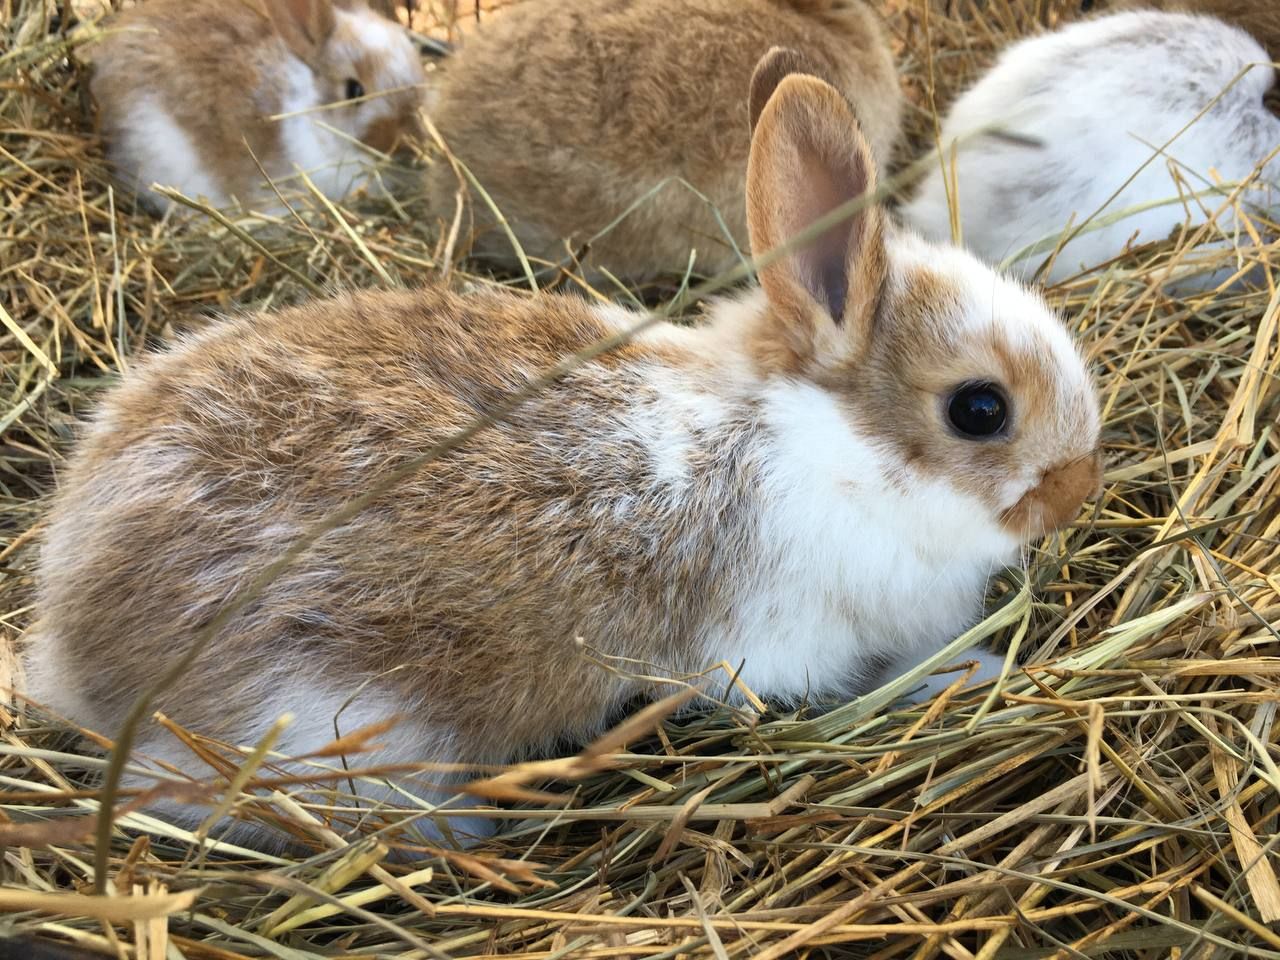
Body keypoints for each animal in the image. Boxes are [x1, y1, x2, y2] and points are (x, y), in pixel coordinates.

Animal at [25, 50, 1101, 849]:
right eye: (978, 409)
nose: (1077, 490)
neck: (817, 445)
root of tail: (70, 649)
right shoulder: (773, 651)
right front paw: (969, 673)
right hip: (335, 731)